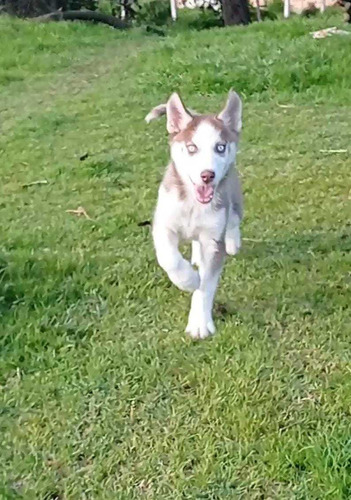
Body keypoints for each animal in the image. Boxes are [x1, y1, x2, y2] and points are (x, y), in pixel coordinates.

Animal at [145, 91, 242, 338]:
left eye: (220, 147)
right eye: (191, 148)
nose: (207, 175)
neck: (193, 205)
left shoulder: (213, 240)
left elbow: (206, 285)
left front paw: (199, 323)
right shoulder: (163, 225)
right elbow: (169, 258)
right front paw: (188, 280)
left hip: (234, 193)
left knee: (234, 218)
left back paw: (233, 241)